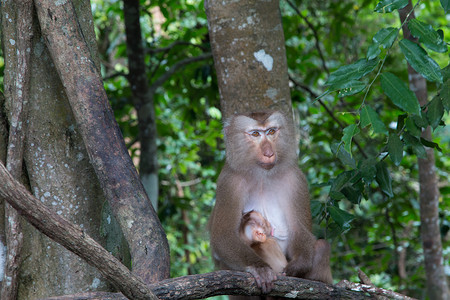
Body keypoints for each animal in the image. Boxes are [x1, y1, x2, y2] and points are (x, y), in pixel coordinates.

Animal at [209, 110, 332, 296]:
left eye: (271, 131)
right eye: (255, 134)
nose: (269, 153)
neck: (262, 174)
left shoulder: (295, 179)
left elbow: (299, 229)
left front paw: (298, 266)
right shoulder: (228, 183)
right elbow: (223, 236)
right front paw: (260, 268)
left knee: (322, 245)